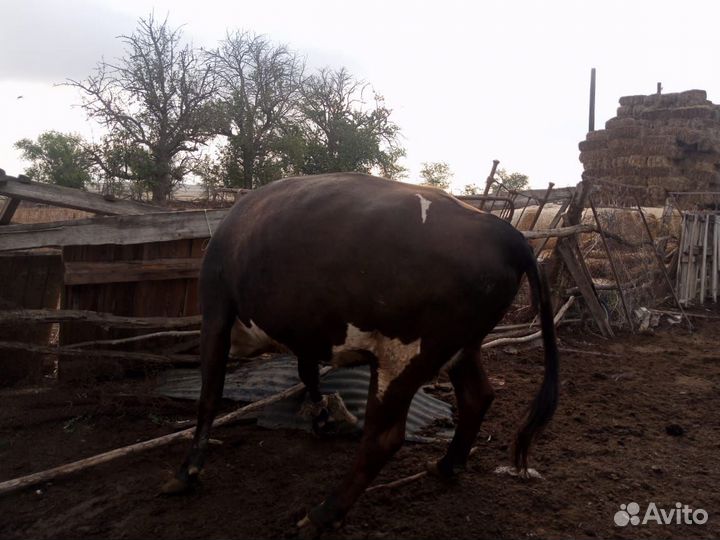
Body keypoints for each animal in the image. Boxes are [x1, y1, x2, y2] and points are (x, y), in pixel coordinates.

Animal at [166, 172, 560, 532]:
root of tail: (506, 233)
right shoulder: (307, 330)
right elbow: (306, 372)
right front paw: (323, 417)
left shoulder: (216, 310)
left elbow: (210, 394)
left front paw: (188, 471)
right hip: (463, 347)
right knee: (478, 396)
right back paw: (447, 465)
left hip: (404, 357)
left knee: (383, 439)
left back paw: (324, 513)